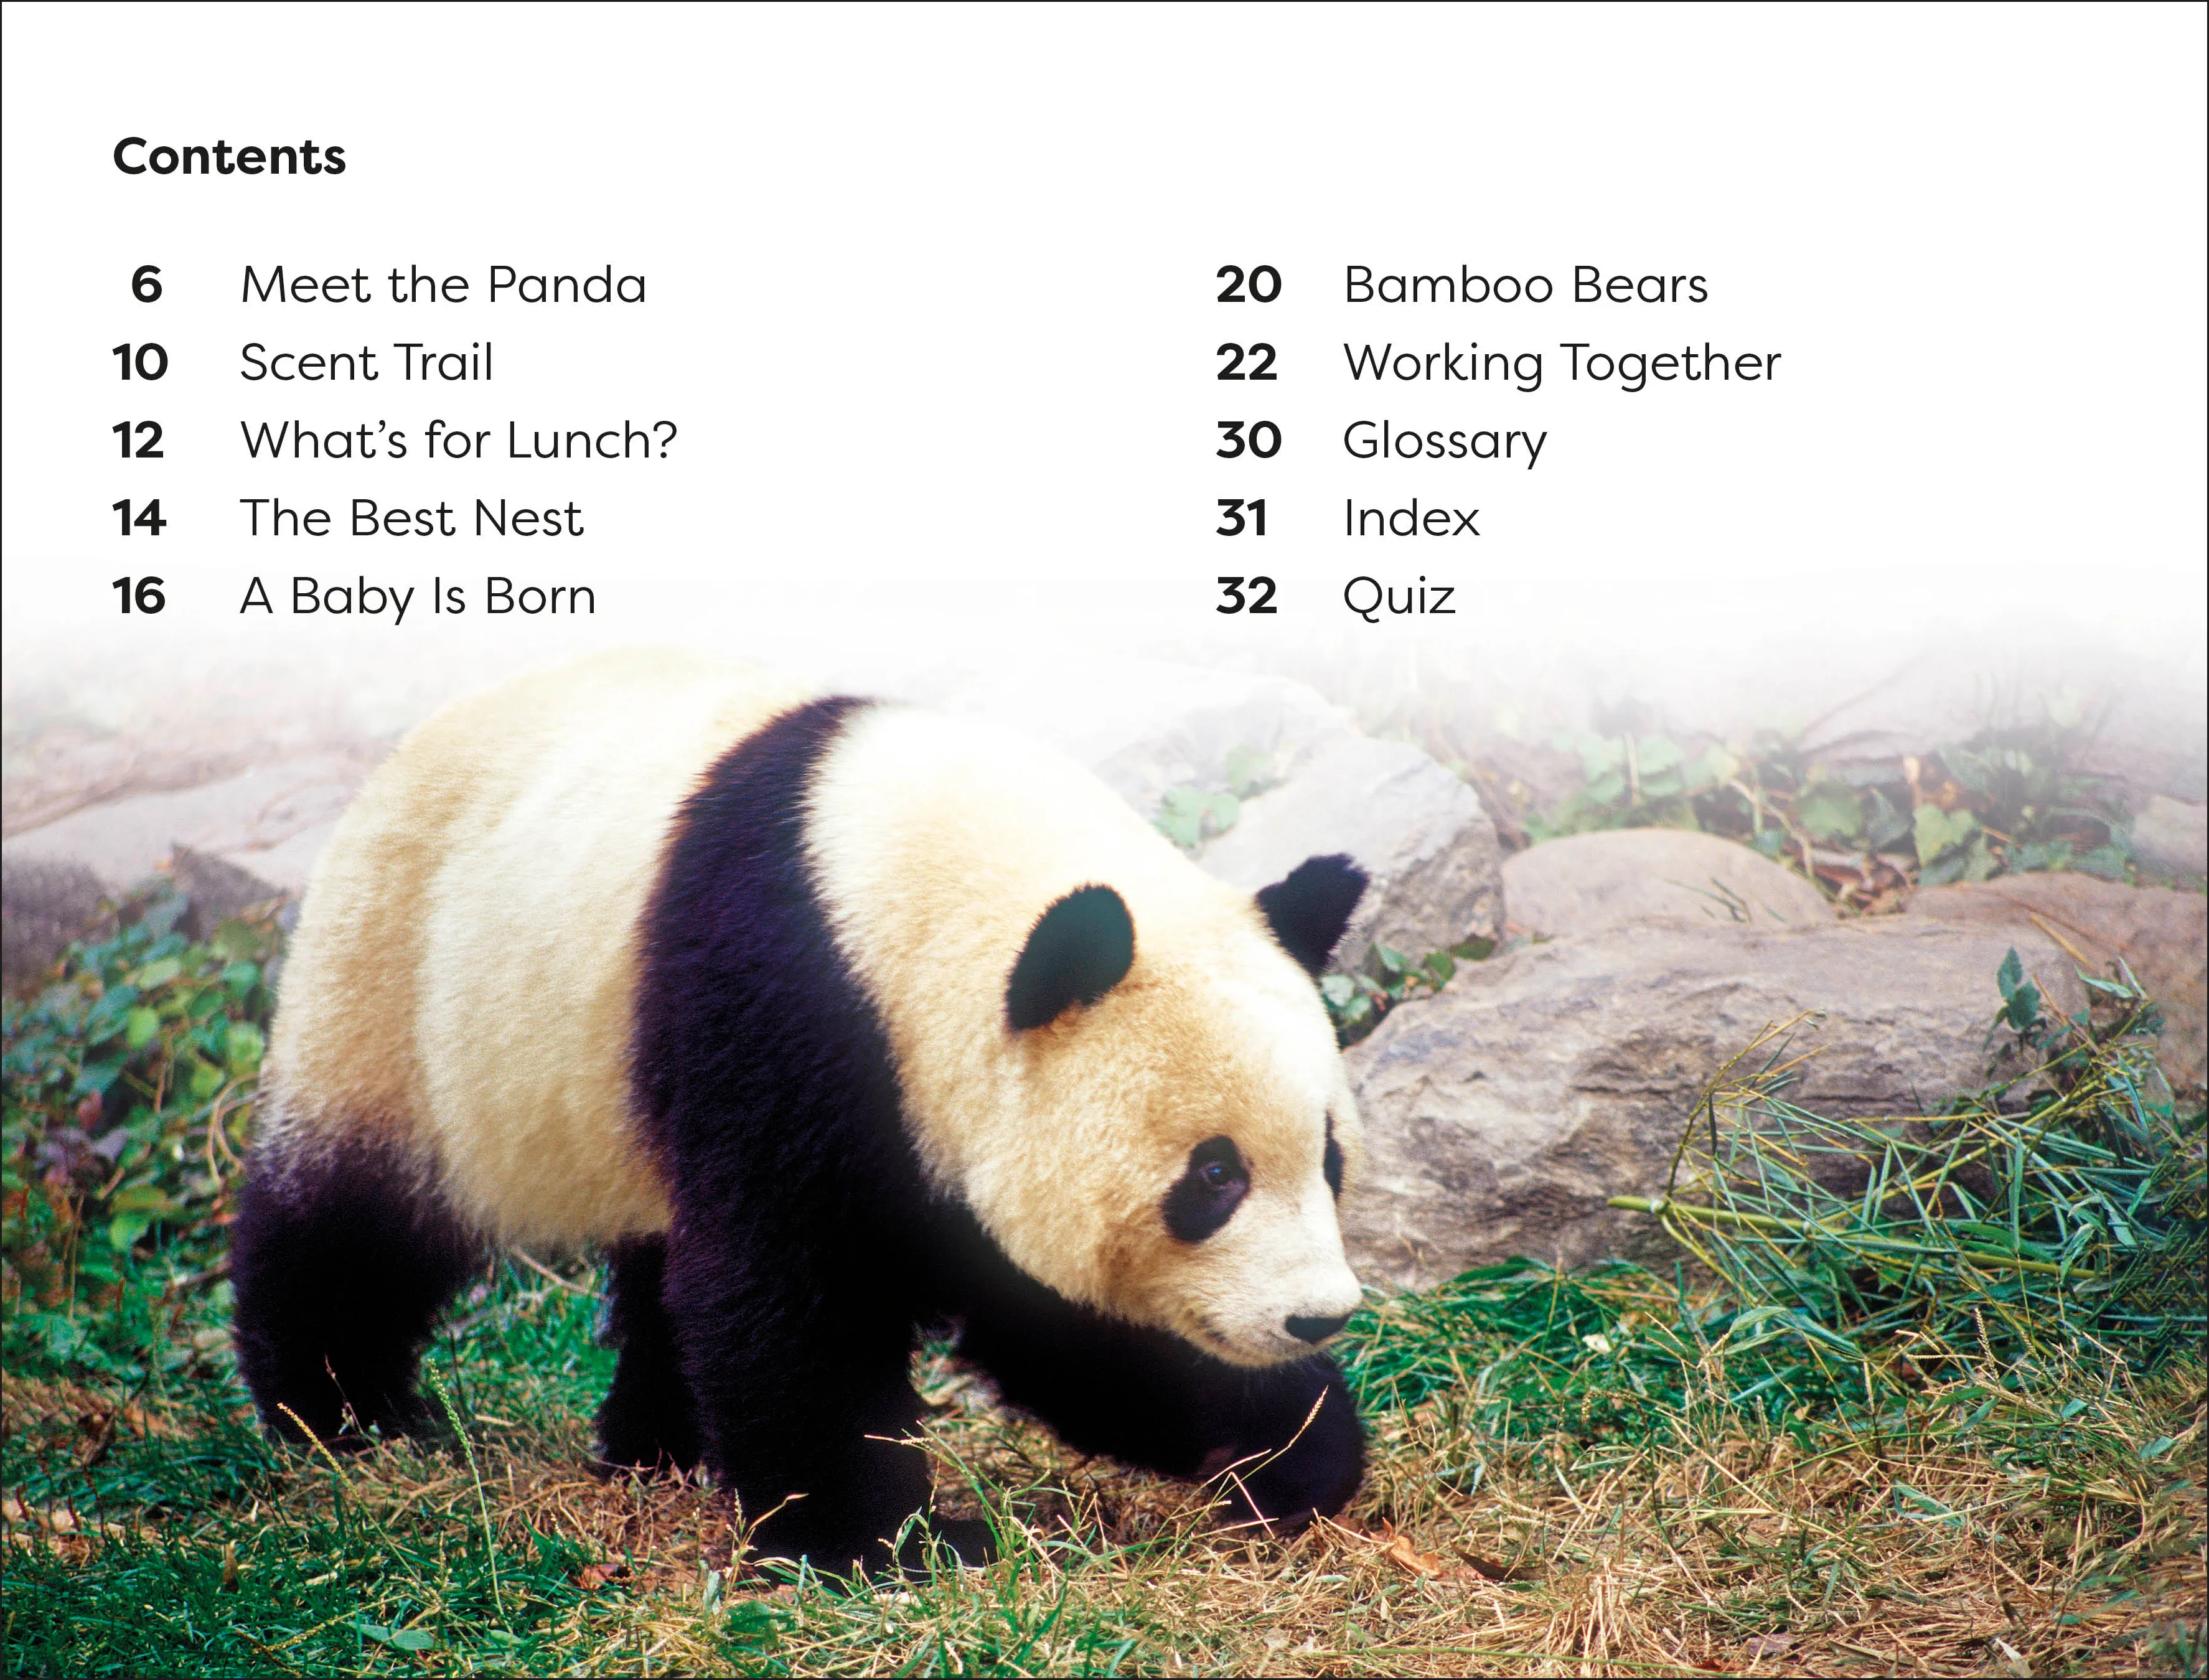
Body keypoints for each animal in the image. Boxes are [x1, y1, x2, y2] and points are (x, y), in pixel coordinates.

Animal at [231, 649, 1374, 1572]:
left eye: (1328, 1159)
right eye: (1212, 1176)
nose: (1315, 1314)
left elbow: (1051, 1314)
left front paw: (1290, 1447)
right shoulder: (788, 1001)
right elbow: (786, 1292)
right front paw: (881, 1538)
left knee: (658, 1245)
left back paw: (658, 1438)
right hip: (403, 986)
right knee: (355, 1214)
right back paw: (343, 1407)